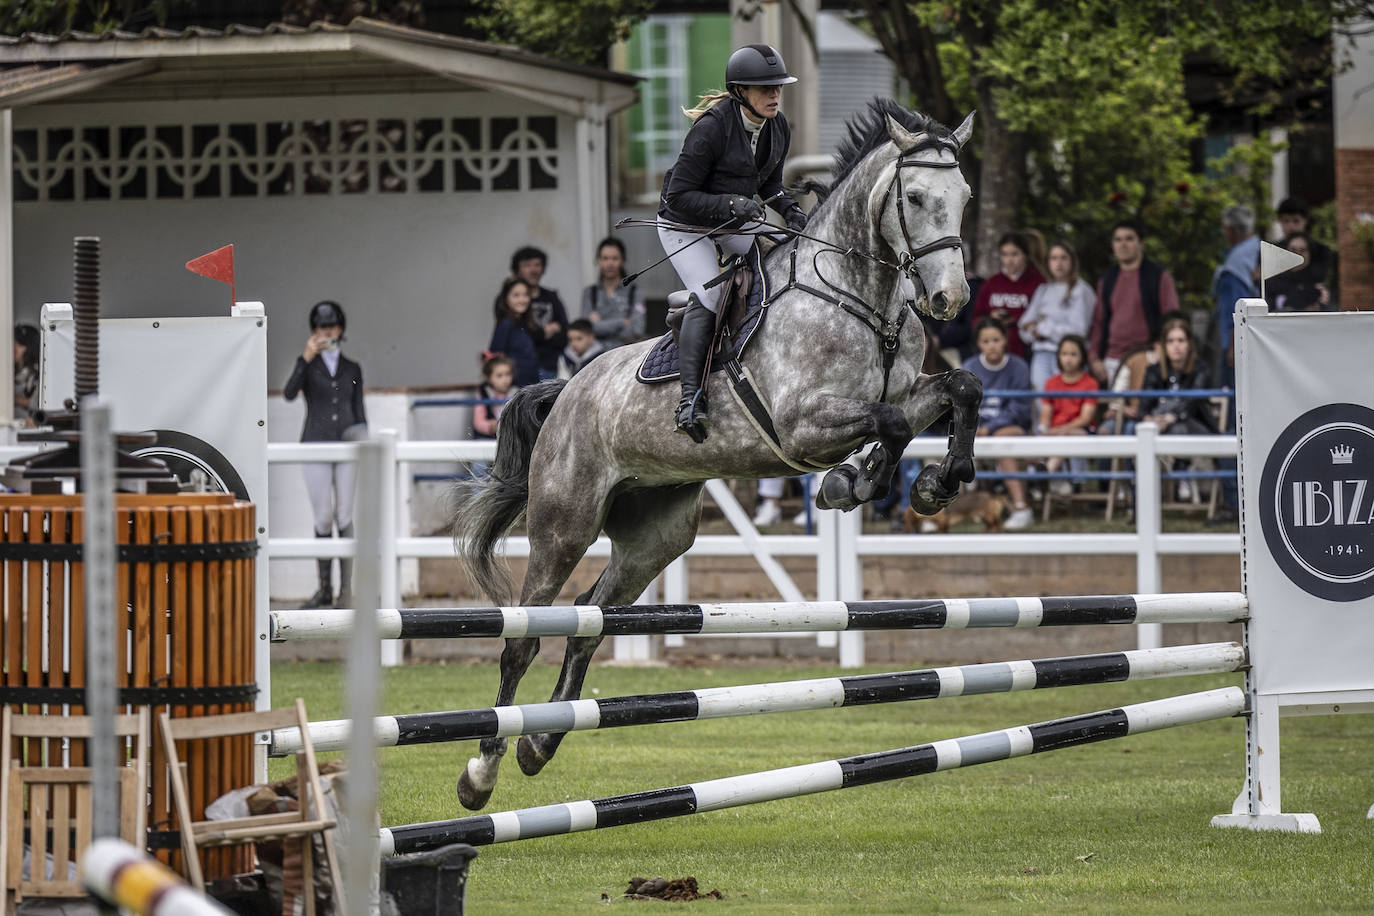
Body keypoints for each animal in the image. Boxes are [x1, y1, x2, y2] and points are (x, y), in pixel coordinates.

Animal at [456, 98, 983, 807]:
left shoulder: (905, 391)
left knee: (591, 621)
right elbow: (893, 422)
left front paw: (935, 483)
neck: (860, 298)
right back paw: (480, 775)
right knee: (524, 639)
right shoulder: (801, 427)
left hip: (656, 536)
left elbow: (960, 387)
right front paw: (854, 482)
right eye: (917, 197)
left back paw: (539, 745)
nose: (949, 301)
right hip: (564, 524)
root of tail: (568, 388)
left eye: (964, 197)